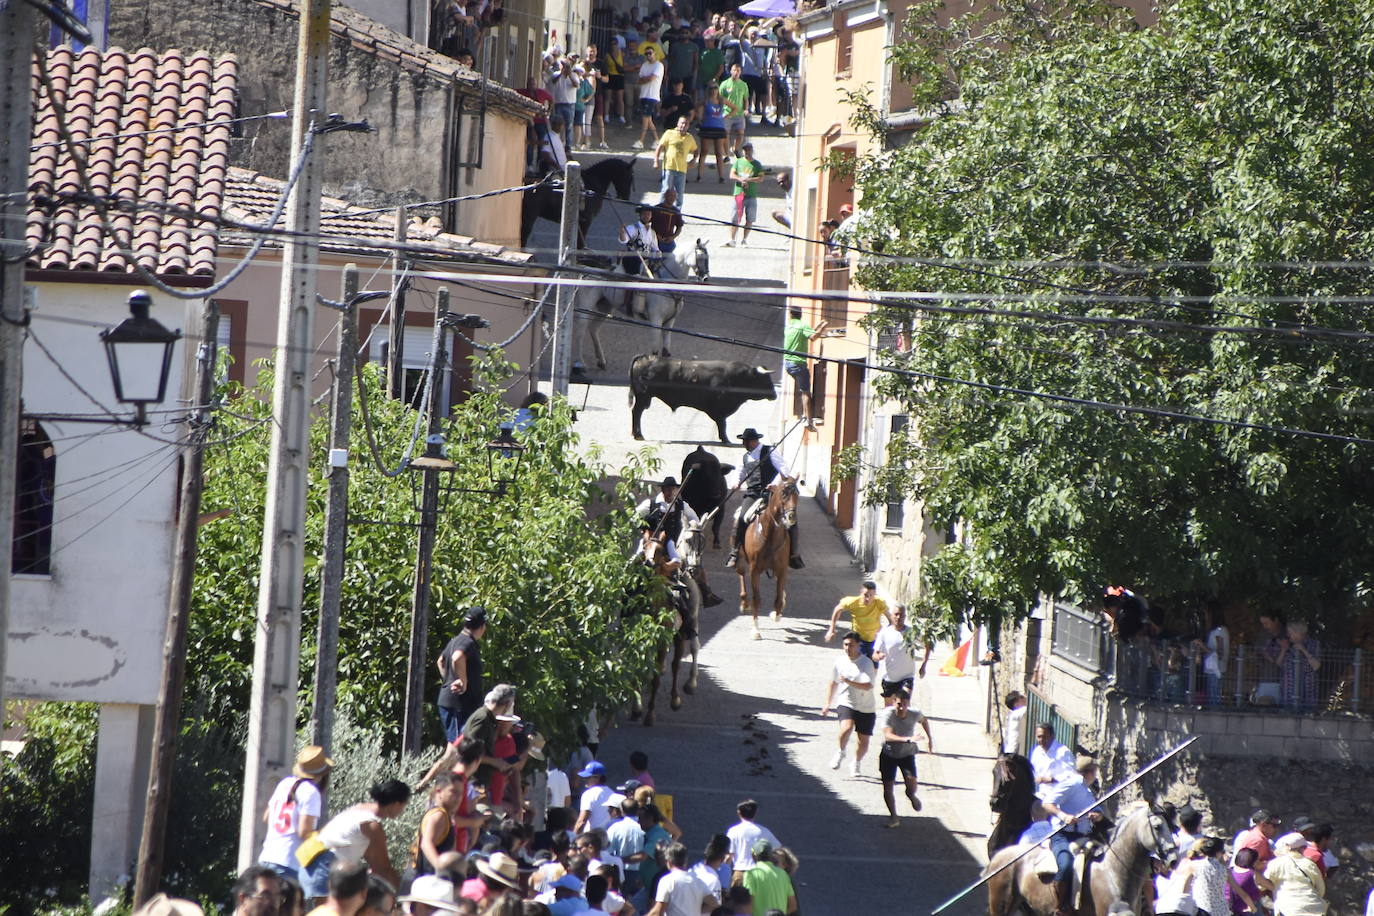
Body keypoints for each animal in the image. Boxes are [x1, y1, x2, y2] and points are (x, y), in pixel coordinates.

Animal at [574, 243, 714, 376]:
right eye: (700, 256)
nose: (705, 278)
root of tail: (585, 271)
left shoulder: (670, 321)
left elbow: (666, 350)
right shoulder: (655, 320)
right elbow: (655, 349)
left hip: (605, 307)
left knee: (593, 329)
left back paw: (601, 361)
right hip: (586, 307)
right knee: (580, 332)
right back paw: (580, 365)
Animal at [629, 354, 780, 444]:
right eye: (766, 380)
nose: (774, 395)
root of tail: (646, 358)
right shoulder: (719, 409)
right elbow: (722, 424)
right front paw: (725, 439)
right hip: (643, 396)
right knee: (637, 412)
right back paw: (638, 435)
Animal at [736, 477, 802, 642]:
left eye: (797, 493)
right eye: (784, 492)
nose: (791, 517)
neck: (769, 534)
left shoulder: (782, 569)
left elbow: (778, 599)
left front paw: (775, 614)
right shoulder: (754, 570)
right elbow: (757, 598)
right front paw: (755, 630)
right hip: (740, 560)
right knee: (741, 574)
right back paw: (744, 603)